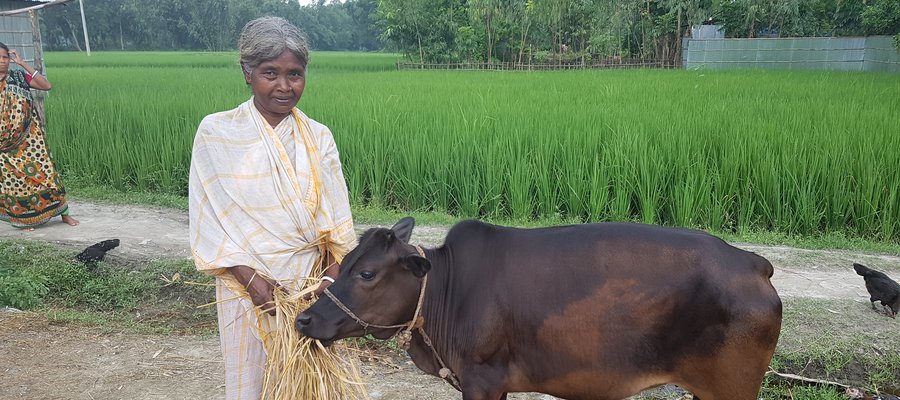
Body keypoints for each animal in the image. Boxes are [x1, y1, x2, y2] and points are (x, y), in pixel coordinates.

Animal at [296, 219, 780, 400]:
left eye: (367, 273)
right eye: (347, 262)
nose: (305, 318)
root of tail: (751, 262)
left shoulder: (483, 381)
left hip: (734, 389)